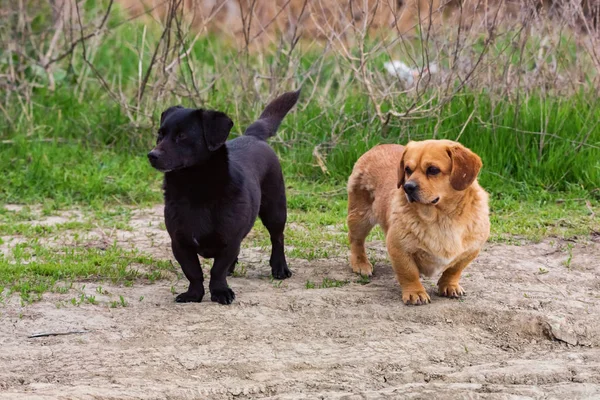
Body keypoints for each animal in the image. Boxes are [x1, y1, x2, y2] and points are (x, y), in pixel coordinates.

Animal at [148, 90, 298, 304]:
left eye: (182, 136)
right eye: (160, 134)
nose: (152, 155)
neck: (194, 189)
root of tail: (253, 136)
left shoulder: (229, 240)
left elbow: (217, 270)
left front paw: (220, 292)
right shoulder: (180, 243)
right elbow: (193, 272)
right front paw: (193, 294)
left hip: (275, 210)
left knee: (277, 237)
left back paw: (279, 267)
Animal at [344, 139, 490, 304]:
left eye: (433, 170)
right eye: (408, 169)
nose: (408, 187)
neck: (443, 218)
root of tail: (378, 147)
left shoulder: (471, 250)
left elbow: (454, 270)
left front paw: (449, 285)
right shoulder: (398, 248)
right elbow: (409, 273)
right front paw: (416, 292)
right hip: (360, 218)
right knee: (356, 241)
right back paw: (361, 264)